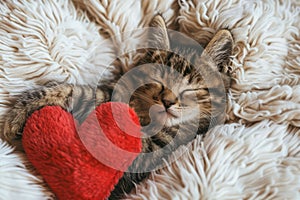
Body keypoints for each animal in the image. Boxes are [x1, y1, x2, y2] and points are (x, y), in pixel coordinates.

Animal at [1, 14, 234, 199]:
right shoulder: (113, 95)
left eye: (191, 89)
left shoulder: (149, 155)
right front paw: (20, 112)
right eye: (158, 80)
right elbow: (82, 93)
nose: (167, 101)